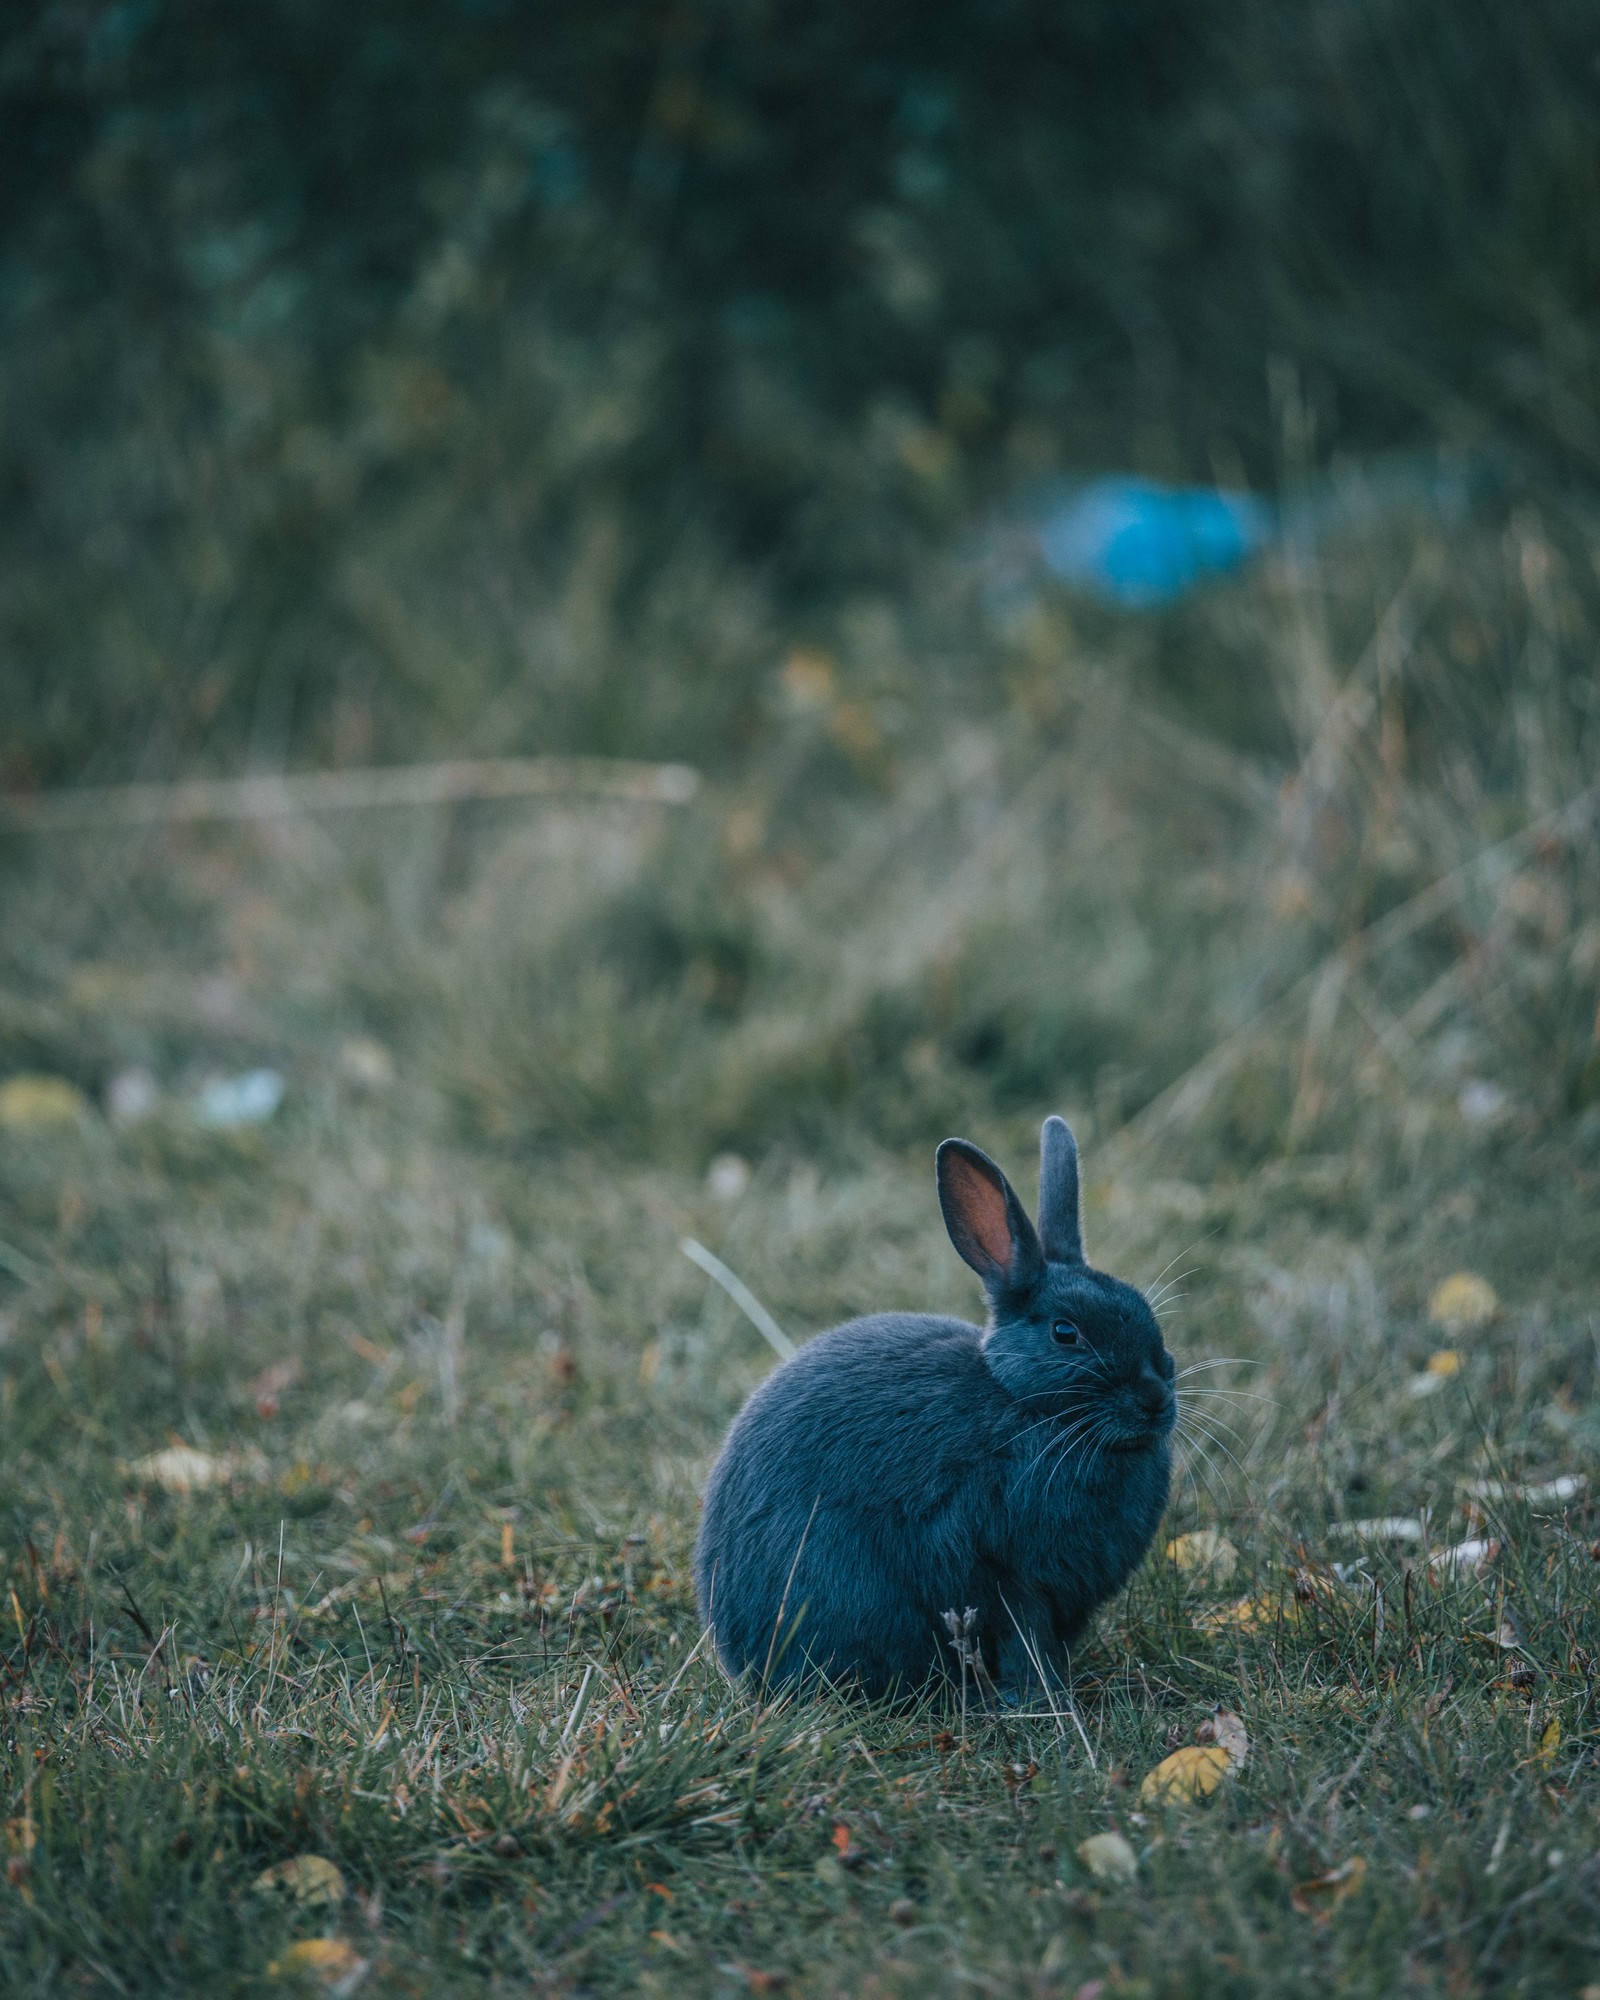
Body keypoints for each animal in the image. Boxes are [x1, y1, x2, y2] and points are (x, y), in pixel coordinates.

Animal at [696, 1120, 1176, 1696]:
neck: (1025, 1407)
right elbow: (1023, 1639)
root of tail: (736, 1651)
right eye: (1066, 1333)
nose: (1156, 1399)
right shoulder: (1000, 1569)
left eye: (1145, 1313)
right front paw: (1040, 1698)